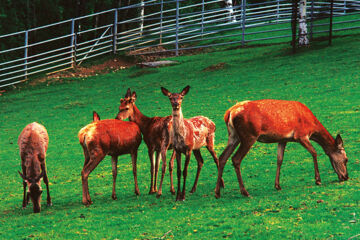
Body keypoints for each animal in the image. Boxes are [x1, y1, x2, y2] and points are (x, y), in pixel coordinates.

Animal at [214, 99, 348, 199]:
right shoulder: (301, 135)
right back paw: (245, 192)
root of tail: (229, 113)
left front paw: (277, 185)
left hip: (233, 136)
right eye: (346, 159)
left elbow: (279, 160)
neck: (312, 127)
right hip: (249, 136)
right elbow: (314, 152)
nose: (346, 177)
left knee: (222, 157)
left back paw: (217, 192)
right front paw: (318, 180)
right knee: (236, 159)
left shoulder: (283, 139)